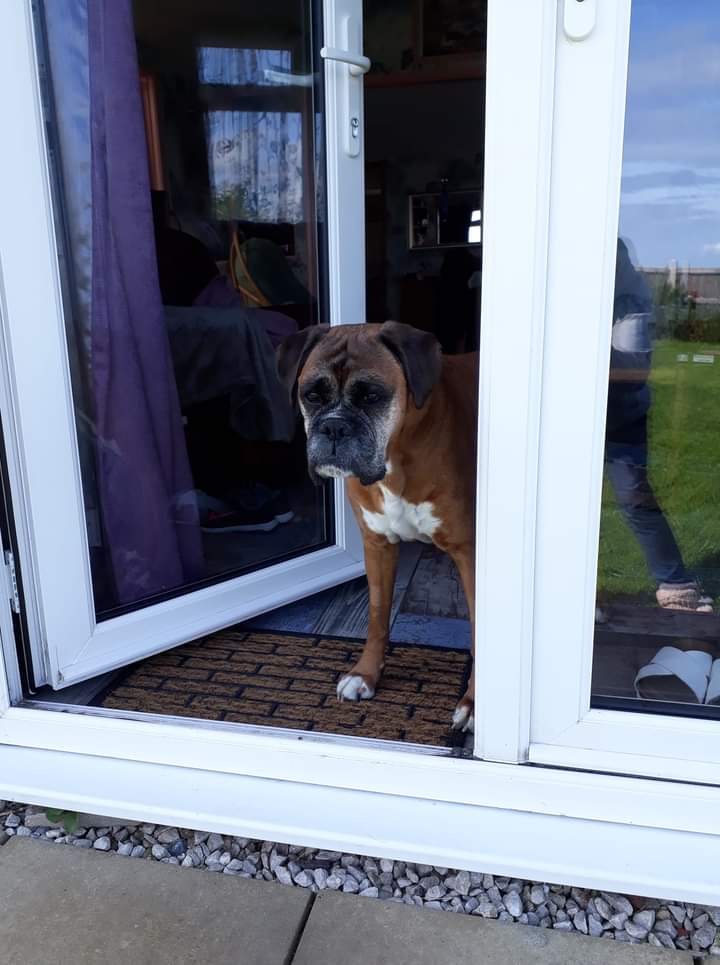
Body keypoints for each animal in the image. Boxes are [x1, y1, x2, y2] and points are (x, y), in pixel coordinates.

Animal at [278, 322, 477, 731]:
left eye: (372, 396)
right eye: (312, 396)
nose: (334, 427)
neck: (397, 453)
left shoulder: (472, 554)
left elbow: (484, 632)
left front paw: (475, 703)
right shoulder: (377, 545)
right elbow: (376, 613)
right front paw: (365, 674)